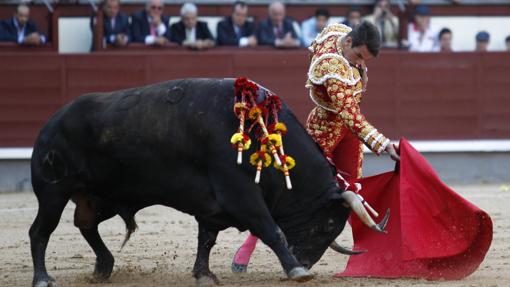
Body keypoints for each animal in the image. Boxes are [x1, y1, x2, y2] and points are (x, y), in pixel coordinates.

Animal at [28, 79, 350, 287]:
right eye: (329, 225)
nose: (305, 261)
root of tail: (50, 124)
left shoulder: (214, 207)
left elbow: (206, 239)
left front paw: (204, 275)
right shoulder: (240, 194)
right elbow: (272, 230)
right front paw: (296, 271)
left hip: (100, 197)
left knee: (85, 224)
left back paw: (103, 267)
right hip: (53, 192)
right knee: (40, 231)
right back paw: (43, 279)